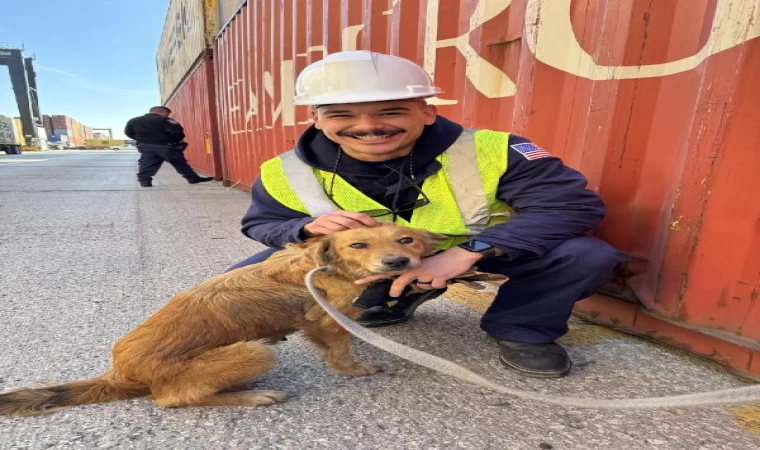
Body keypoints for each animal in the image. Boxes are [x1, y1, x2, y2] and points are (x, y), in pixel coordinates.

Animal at [0, 223, 440, 416]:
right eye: (358, 244)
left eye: (406, 239)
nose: (398, 262)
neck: (320, 265)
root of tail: (122, 372)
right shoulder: (326, 321)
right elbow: (340, 352)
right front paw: (354, 370)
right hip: (253, 351)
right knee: (172, 399)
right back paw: (250, 396)